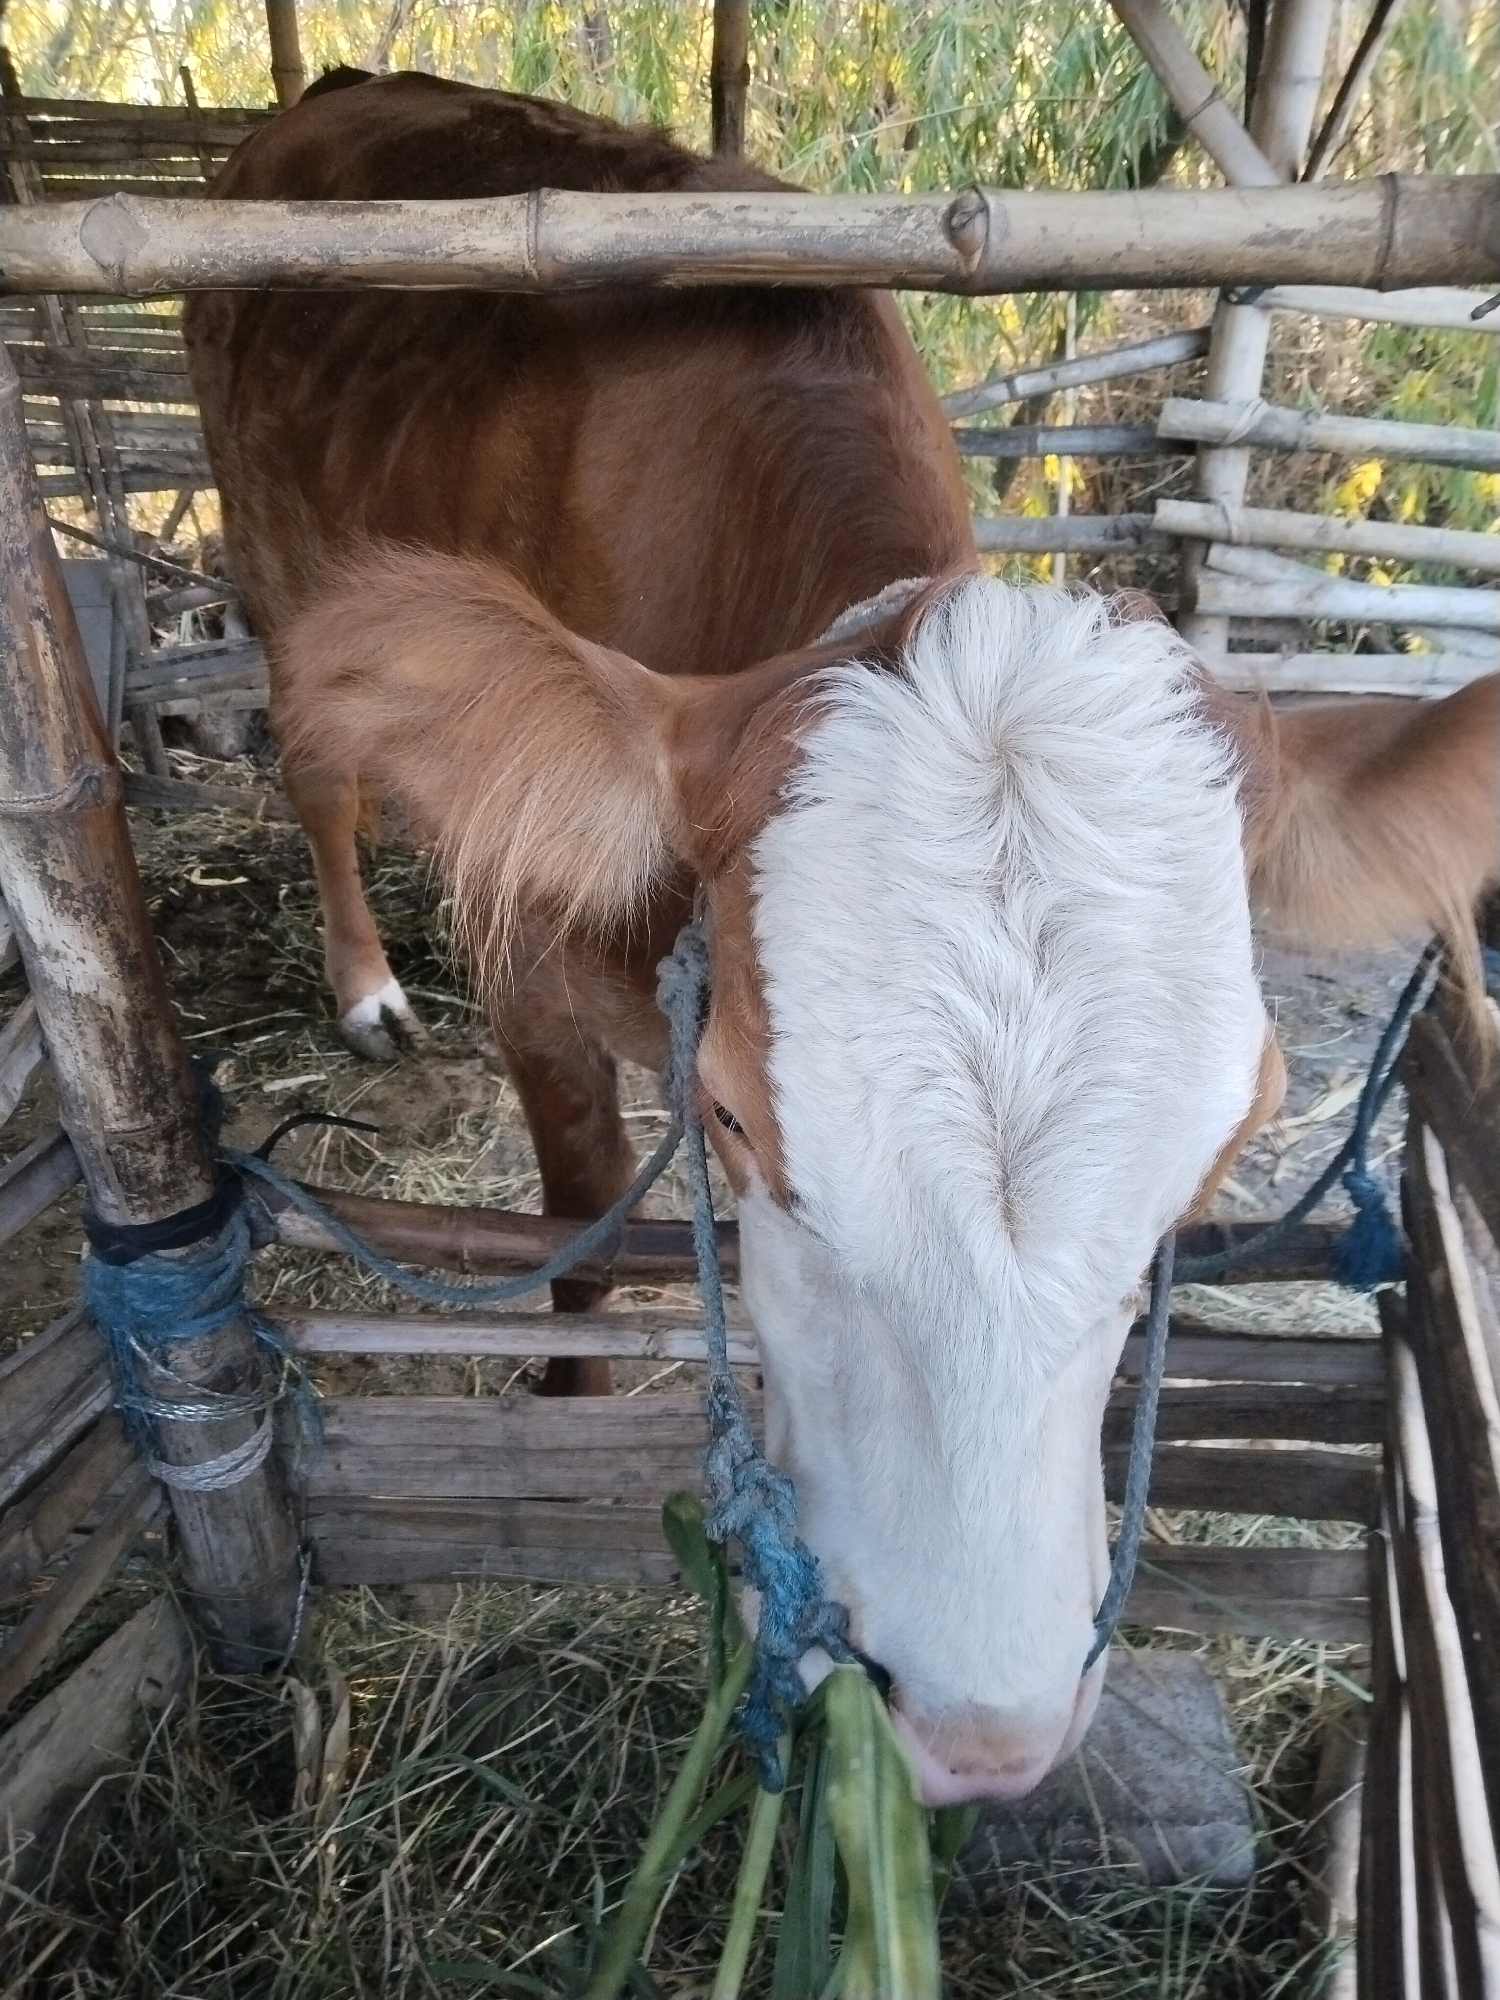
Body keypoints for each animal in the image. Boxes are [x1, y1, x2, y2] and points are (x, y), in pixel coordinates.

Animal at [184, 71, 1500, 1806]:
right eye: (736, 1117)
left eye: (1230, 1147)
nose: (980, 1730)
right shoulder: (533, 951)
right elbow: (585, 1208)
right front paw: (564, 1413)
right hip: (270, 558)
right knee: (318, 763)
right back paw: (366, 987)